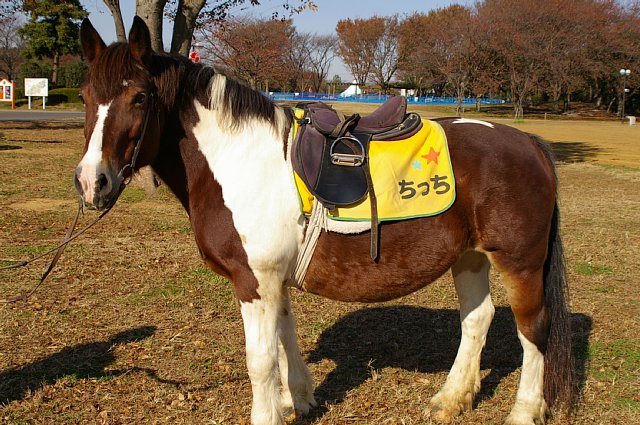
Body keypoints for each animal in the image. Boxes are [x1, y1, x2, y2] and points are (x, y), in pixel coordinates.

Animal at [74, 17, 575, 425]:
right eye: (84, 96)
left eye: (139, 96)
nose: (92, 182)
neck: (240, 159)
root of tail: (529, 142)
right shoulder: (273, 281)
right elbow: (284, 340)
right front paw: (298, 399)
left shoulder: (253, 281)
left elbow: (260, 359)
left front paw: (268, 414)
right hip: (470, 257)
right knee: (477, 319)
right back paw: (451, 400)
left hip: (520, 263)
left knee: (533, 330)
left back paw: (524, 411)